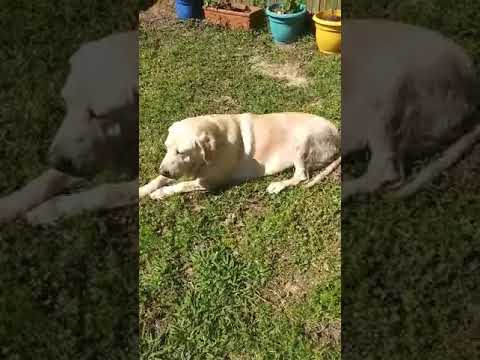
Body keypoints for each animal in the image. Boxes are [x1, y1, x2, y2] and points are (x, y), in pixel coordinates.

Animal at [0, 31, 138, 224]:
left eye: (98, 114)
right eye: (67, 102)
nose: (55, 161)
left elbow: (106, 192)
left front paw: (52, 209)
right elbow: (47, 180)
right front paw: (9, 204)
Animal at [139, 112, 342, 200]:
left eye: (181, 152)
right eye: (166, 148)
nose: (163, 170)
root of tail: (337, 134)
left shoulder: (208, 183)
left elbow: (180, 185)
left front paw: (161, 193)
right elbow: (158, 180)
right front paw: (143, 189)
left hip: (301, 141)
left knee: (301, 176)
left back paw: (278, 185)